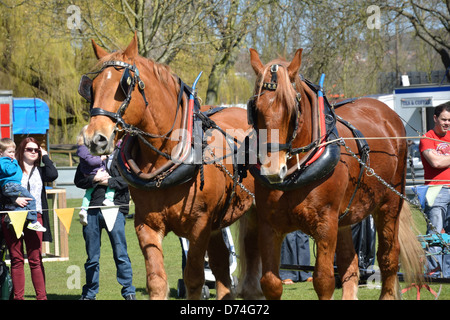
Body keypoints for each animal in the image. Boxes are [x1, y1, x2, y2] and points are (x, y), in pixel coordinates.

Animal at [79, 35, 258, 300]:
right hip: (217, 226)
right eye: (91, 87)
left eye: (125, 85)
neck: (163, 165)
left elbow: (194, 280)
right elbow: (156, 280)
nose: (94, 138)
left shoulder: (199, 227)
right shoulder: (147, 226)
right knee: (222, 268)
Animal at [241, 48, 424, 300]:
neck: (296, 172)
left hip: (390, 203)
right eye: (255, 108)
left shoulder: (325, 225)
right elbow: (270, 282)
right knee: (350, 262)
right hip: (345, 217)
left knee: (389, 257)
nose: (272, 169)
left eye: (292, 108)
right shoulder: (269, 225)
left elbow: (324, 281)